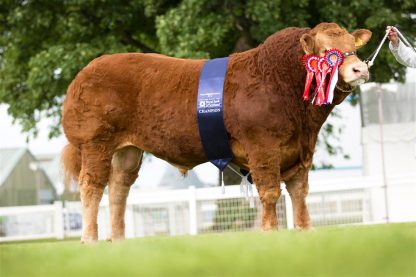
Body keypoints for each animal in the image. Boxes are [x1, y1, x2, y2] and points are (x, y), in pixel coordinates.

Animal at [61, 22, 370, 242]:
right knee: (92, 187)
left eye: (352, 47)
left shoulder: (300, 149)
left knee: (118, 190)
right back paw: (90, 239)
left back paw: (119, 241)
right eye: (325, 51)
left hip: (128, 150)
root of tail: (85, 72)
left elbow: (299, 192)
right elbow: (270, 192)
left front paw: (306, 230)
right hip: (95, 142)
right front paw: (270, 232)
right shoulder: (263, 147)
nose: (359, 69)